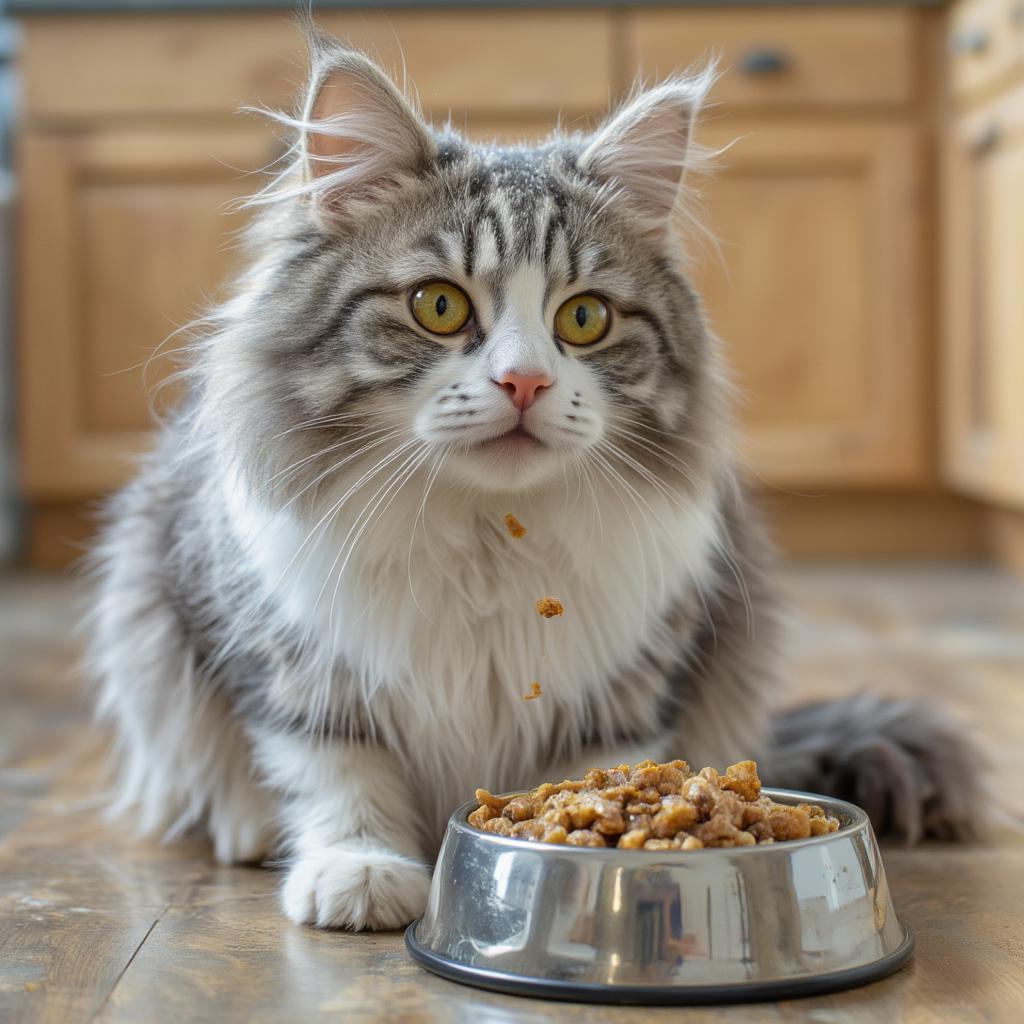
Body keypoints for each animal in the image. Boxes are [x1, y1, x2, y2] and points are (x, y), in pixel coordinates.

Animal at [88, 34, 983, 929]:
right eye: (438, 306)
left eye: (584, 319)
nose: (525, 382)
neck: (492, 529)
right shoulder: (289, 657)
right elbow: (339, 774)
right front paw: (361, 872)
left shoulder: (628, 679)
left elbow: (606, 763)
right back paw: (244, 829)